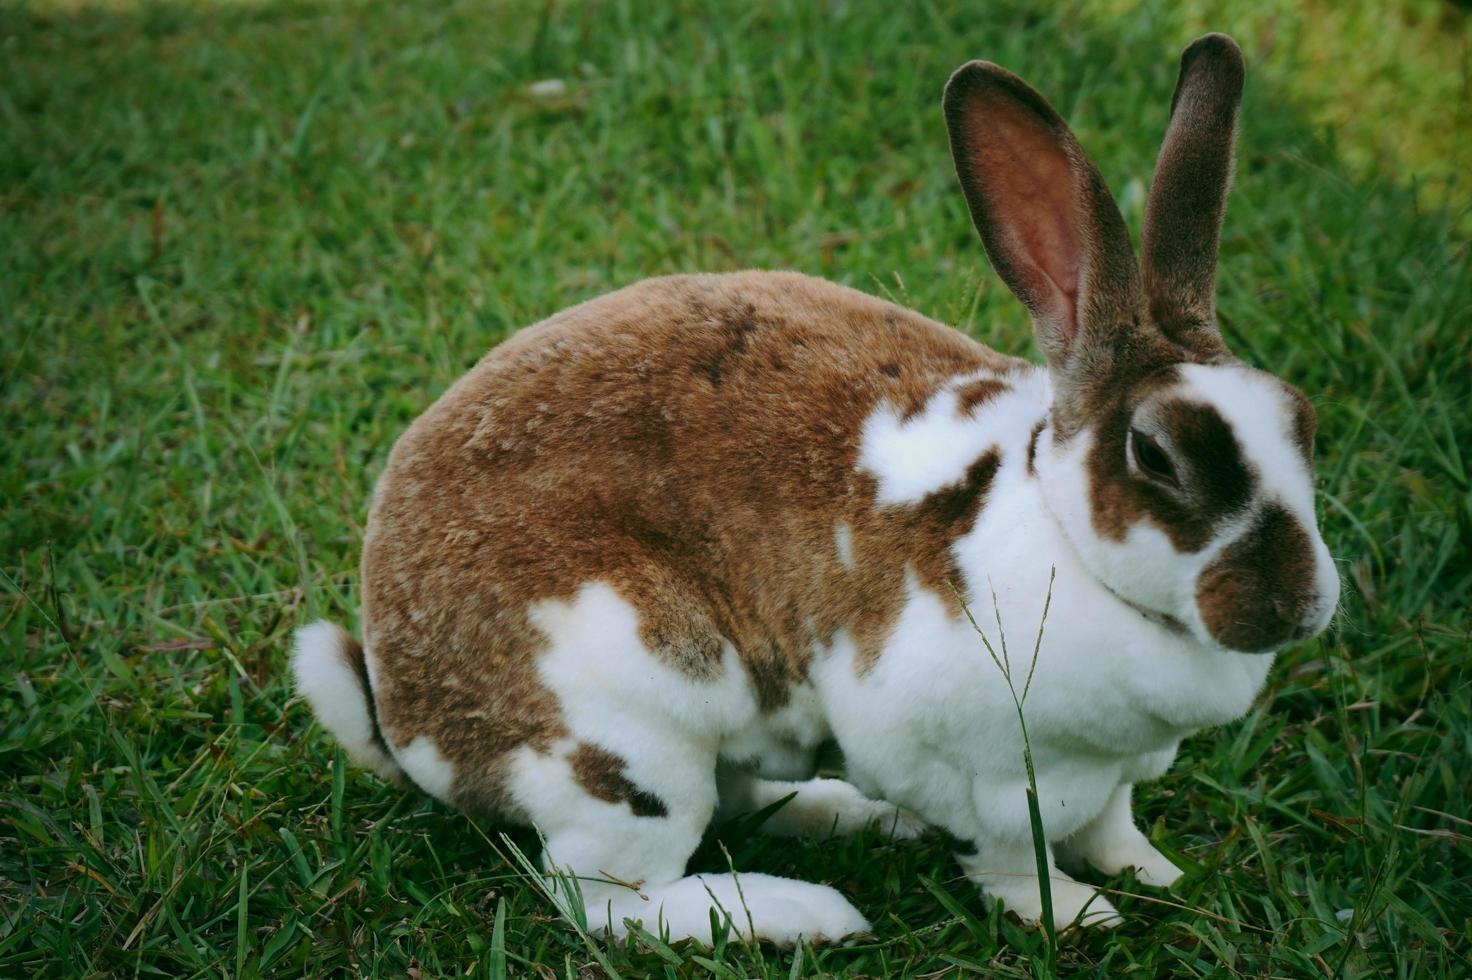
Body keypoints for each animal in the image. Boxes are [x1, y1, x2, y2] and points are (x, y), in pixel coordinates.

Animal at [292, 32, 1342, 941]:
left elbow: (1118, 825)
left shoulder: (1113, 774)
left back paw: (851, 816)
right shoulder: (985, 772)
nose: (1296, 605)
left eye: (1302, 419)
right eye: (1156, 455)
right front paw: (1079, 916)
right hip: (631, 736)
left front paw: (1155, 871)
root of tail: (405, 715)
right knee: (611, 902)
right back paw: (805, 915)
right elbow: (1014, 861)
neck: (1059, 533)